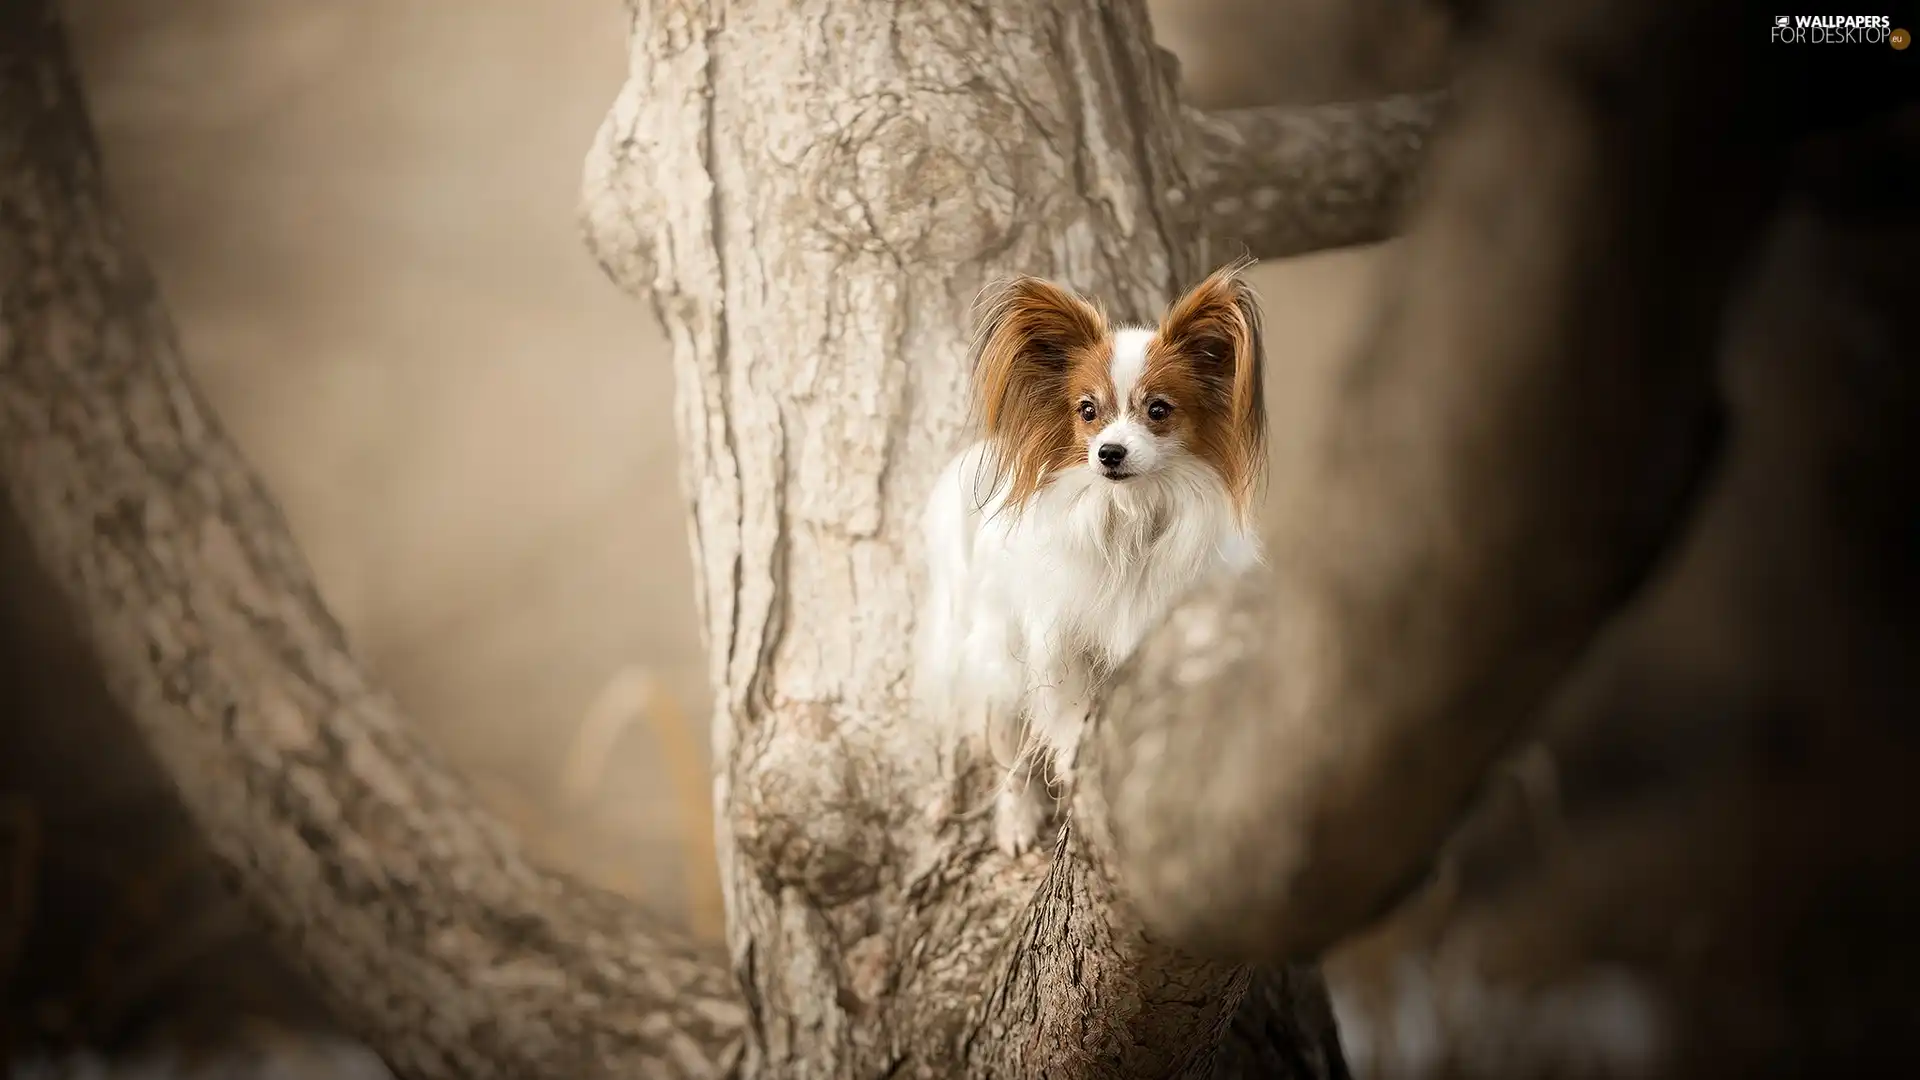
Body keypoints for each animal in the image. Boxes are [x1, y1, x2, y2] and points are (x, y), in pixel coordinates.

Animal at [917, 255, 1267, 853]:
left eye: (1158, 410)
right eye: (1087, 410)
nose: (1109, 452)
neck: (1128, 513)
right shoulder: (1060, 642)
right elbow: (1069, 717)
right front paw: (1071, 769)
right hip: (995, 655)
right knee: (1005, 754)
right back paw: (1014, 821)